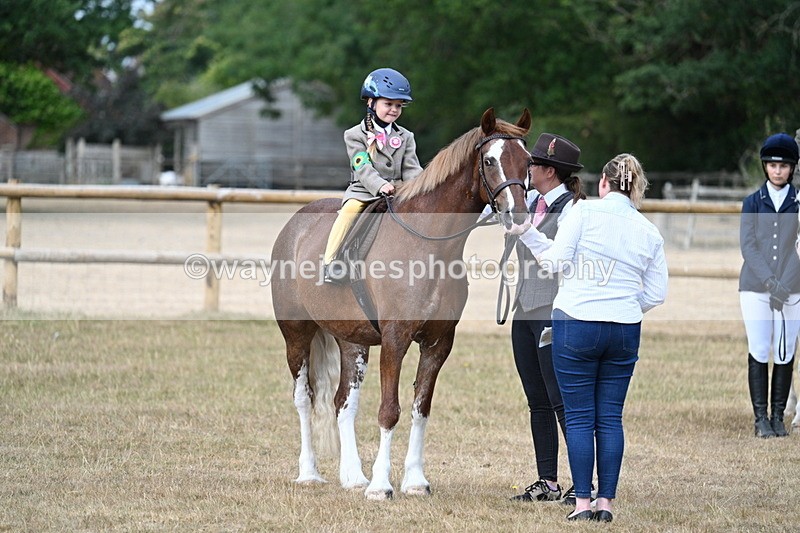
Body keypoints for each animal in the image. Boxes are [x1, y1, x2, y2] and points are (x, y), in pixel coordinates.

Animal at [271, 108, 533, 499]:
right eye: (490, 160)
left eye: (528, 161)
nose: (519, 217)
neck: (431, 245)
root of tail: (293, 226)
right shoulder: (395, 339)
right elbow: (389, 411)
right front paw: (382, 486)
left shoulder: (438, 343)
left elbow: (420, 409)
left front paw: (415, 481)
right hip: (296, 336)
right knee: (304, 399)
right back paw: (310, 473)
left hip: (352, 342)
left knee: (343, 403)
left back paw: (353, 476)